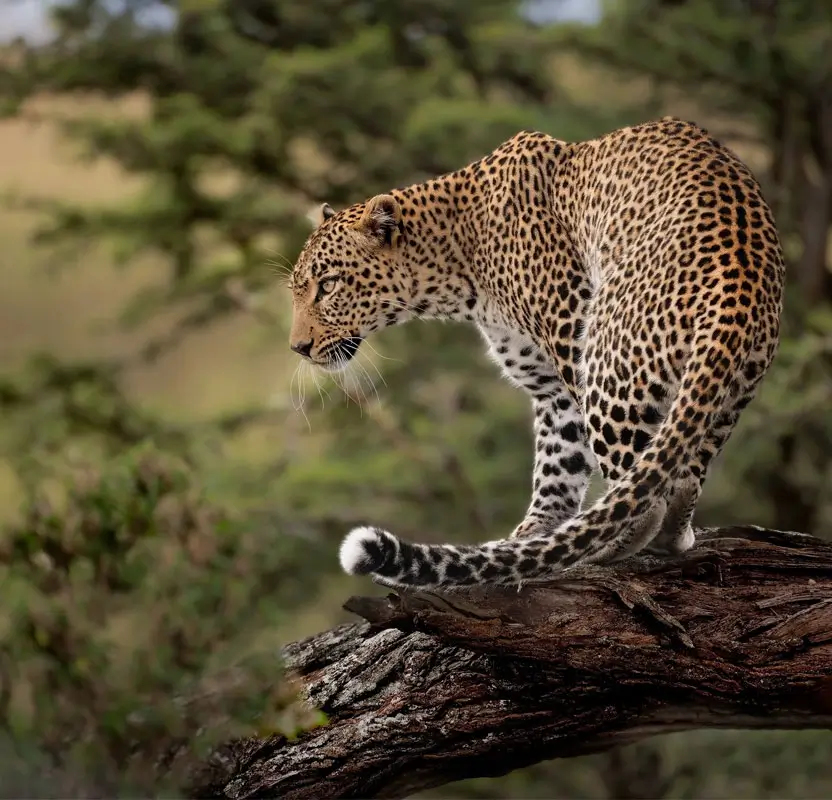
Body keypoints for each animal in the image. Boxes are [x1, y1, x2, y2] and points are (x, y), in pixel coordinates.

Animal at [288, 116, 785, 590]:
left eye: (328, 285)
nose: (298, 347)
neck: (457, 263)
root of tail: (742, 279)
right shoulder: (551, 387)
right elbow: (558, 462)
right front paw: (531, 538)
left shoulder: (568, 333)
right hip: (726, 390)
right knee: (681, 484)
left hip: (607, 358)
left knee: (646, 497)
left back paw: (603, 548)